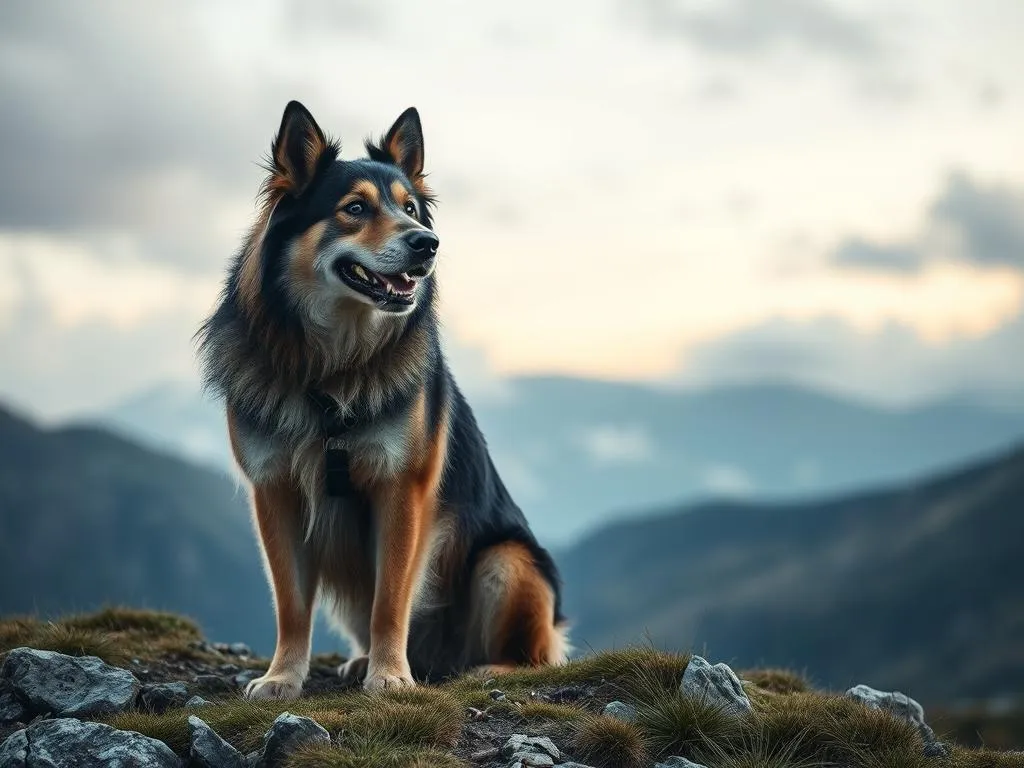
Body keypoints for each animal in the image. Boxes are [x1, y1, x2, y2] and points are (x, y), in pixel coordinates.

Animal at [196, 100, 573, 696]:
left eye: (412, 209)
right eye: (355, 209)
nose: (428, 243)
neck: (333, 368)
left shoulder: (402, 489)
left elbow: (390, 599)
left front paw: (391, 677)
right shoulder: (274, 490)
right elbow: (291, 604)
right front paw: (283, 676)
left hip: (507, 560)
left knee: (533, 654)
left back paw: (479, 669)